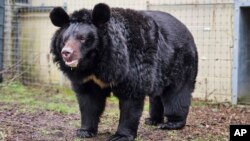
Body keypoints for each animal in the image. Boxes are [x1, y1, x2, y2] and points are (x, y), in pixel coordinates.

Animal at [49, 2, 197, 140]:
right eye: (64, 40)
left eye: (82, 38)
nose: (66, 53)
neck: (95, 63)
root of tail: (186, 29)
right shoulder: (87, 78)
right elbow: (88, 101)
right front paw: (84, 131)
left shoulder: (132, 64)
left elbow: (130, 101)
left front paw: (121, 136)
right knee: (157, 95)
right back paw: (152, 120)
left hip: (180, 62)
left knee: (177, 93)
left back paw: (171, 123)